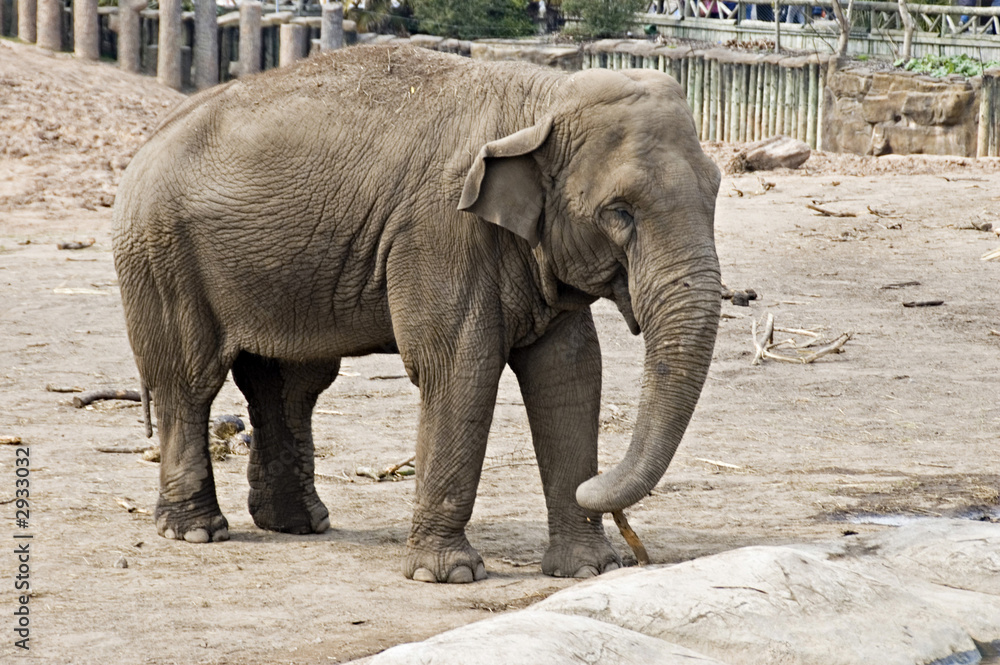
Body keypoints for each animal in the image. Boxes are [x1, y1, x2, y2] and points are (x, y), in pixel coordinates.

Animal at [112, 44, 721, 583]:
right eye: (618, 212)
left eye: (716, 191)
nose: (629, 538)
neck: (539, 99)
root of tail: (145, 144)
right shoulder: (440, 231)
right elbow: (459, 368)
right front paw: (447, 575)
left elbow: (569, 373)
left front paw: (591, 569)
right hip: (162, 257)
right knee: (189, 381)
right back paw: (196, 531)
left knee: (290, 382)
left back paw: (298, 524)